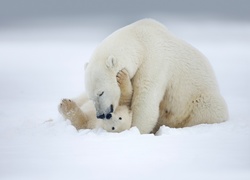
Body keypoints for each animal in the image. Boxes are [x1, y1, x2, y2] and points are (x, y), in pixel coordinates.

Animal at [80, 18, 229, 134]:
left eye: (101, 92)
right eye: (91, 97)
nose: (100, 115)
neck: (139, 40)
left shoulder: (154, 61)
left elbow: (145, 98)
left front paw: (134, 129)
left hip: (200, 100)